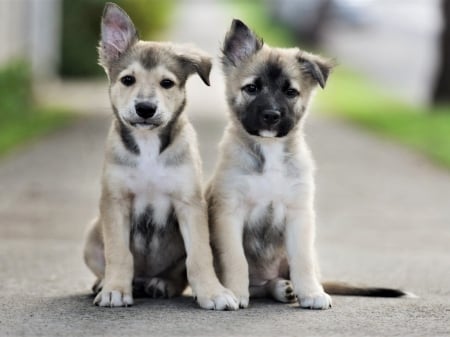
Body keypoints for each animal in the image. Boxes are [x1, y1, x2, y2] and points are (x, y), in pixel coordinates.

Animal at [84, 1, 239, 310]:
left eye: (167, 83)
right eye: (127, 79)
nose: (145, 109)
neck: (148, 147)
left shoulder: (189, 203)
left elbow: (199, 256)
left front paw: (213, 293)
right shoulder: (115, 201)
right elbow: (119, 253)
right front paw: (114, 289)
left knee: (178, 275)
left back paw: (161, 283)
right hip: (92, 233)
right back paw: (104, 283)